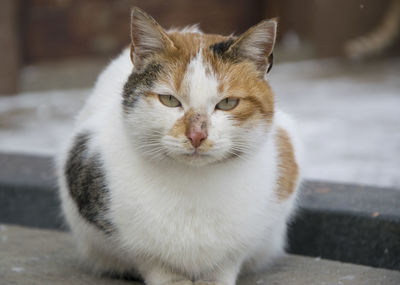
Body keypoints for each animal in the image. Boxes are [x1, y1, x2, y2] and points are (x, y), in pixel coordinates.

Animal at [55, 6, 300, 284]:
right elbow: (151, 261)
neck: (193, 186)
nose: (196, 135)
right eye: (169, 100)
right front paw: (171, 278)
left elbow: (227, 261)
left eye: (227, 103)